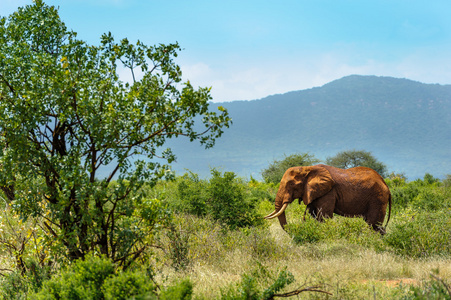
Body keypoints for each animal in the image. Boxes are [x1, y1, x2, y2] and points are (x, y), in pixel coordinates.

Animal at [264, 164, 392, 234]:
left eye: (291, 184)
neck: (308, 168)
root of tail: (385, 184)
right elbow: (311, 214)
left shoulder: (329, 192)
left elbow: (324, 217)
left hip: (378, 198)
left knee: (373, 224)